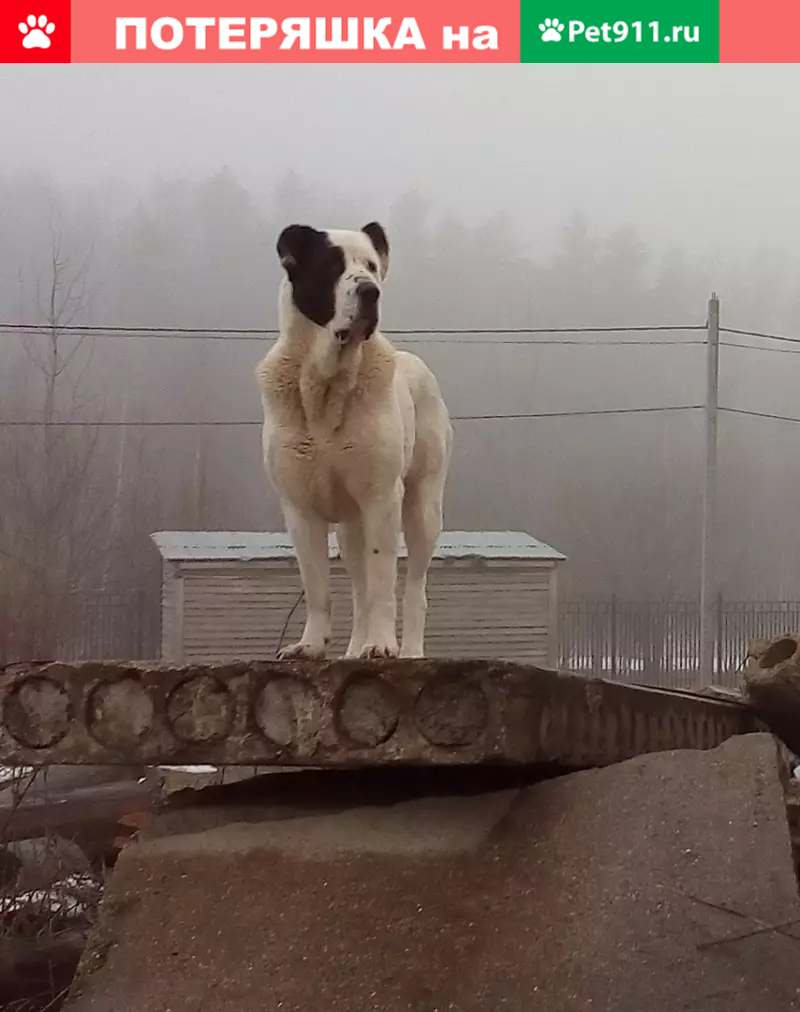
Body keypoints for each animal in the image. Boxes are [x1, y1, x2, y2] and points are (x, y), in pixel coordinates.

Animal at [258, 221, 453, 659]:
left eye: (372, 266)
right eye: (332, 265)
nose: (370, 291)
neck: (326, 381)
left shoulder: (382, 497)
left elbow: (383, 578)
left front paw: (380, 645)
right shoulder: (300, 509)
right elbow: (318, 586)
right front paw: (311, 645)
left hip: (423, 507)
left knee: (414, 588)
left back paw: (409, 652)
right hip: (351, 526)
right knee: (359, 588)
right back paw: (351, 650)